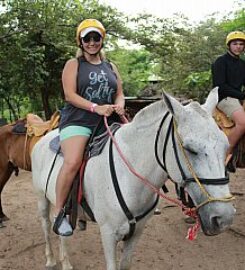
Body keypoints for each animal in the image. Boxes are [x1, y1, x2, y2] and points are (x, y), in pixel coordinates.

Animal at [31, 89, 235, 270]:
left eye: (226, 147)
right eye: (190, 149)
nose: (224, 217)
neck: (129, 178)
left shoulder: (136, 233)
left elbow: (126, 264)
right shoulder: (108, 234)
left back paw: (65, 262)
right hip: (42, 199)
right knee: (47, 226)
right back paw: (51, 260)